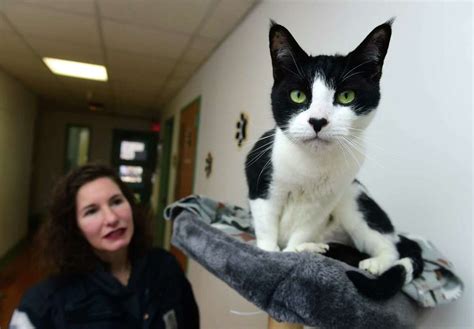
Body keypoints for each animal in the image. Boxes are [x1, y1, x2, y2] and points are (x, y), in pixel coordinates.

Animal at [244, 19, 422, 298]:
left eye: (346, 96)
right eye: (298, 95)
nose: (318, 121)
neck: (312, 165)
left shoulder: (326, 199)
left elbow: (303, 228)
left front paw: (294, 251)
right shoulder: (260, 176)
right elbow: (266, 223)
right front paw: (269, 254)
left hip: (353, 198)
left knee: (390, 248)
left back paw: (369, 262)